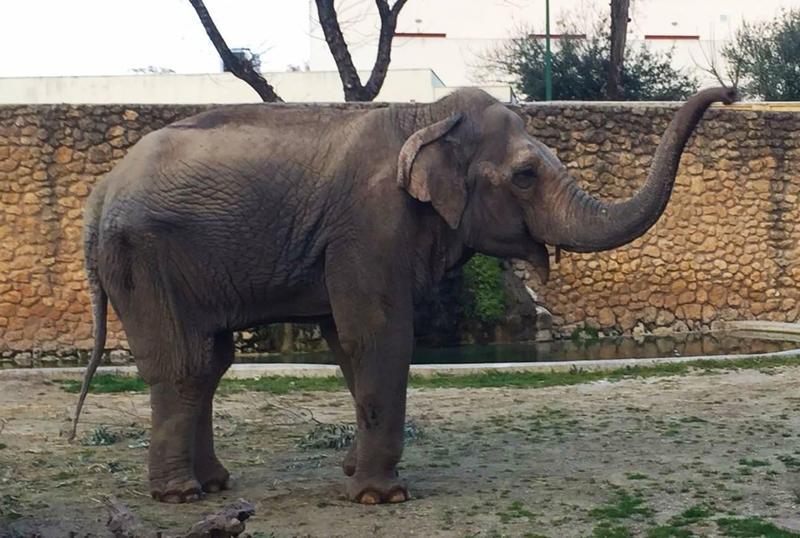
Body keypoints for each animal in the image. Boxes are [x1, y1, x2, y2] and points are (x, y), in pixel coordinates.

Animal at [70, 86, 736, 504]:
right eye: (525, 176)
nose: (730, 95)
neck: (424, 116)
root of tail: (100, 193)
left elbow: (348, 345)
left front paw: (353, 472)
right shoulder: (370, 227)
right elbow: (379, 334)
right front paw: (380, 497)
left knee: (211, 362)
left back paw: (214, 485)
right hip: (144, 258)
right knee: (183, 364)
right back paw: (180, 495)